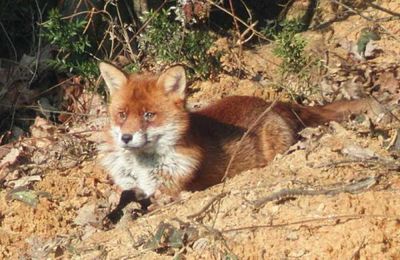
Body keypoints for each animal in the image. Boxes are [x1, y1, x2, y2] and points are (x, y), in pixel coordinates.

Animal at [98, 63, 386, 203]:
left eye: (149, 115)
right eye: (122, 115)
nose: (126, 138)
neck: (143, 169)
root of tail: (274, 102)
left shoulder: (171, 191)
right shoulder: (130, 185)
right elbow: (125, 196)